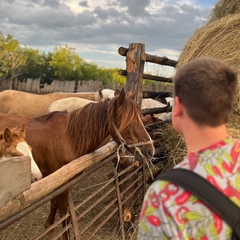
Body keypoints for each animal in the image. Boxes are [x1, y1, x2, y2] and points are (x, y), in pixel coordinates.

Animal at [0, 89, 155, 239]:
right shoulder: (62, 185)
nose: (150, 150)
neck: (68, 138)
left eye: (141, 119)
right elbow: (65, 217)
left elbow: (54, 204)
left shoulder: (56, 182)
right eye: (131, 121)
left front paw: (49, 229)